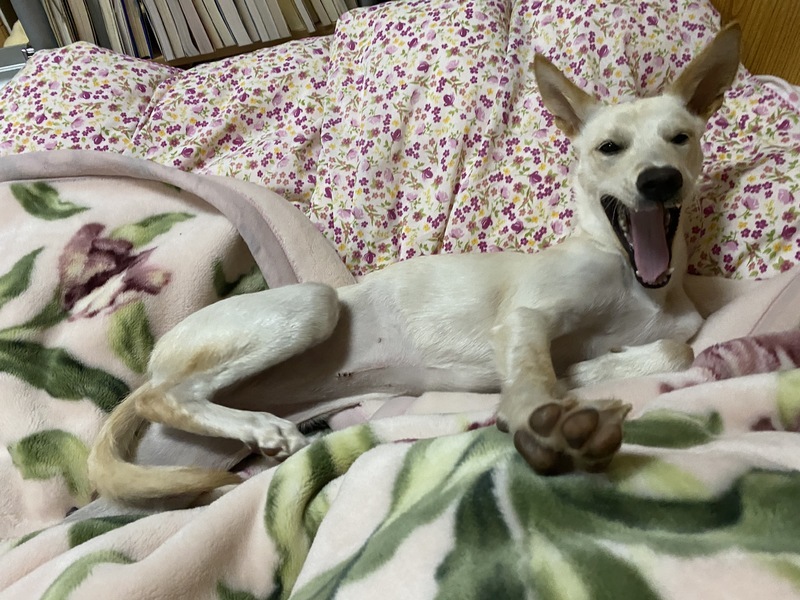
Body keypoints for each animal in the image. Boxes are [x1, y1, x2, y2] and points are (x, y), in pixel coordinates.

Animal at [88, 23, 741, 503]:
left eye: (680, 138)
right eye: (609, 148)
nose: (659, 181)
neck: (636, 277)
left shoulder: (670, 331)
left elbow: (674, 350)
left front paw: (585, 376)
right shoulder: (526, 316)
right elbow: (535, 376)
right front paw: (546, 420)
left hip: (181, 454)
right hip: (310, 305)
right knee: (161, 395)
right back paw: (256, 426)